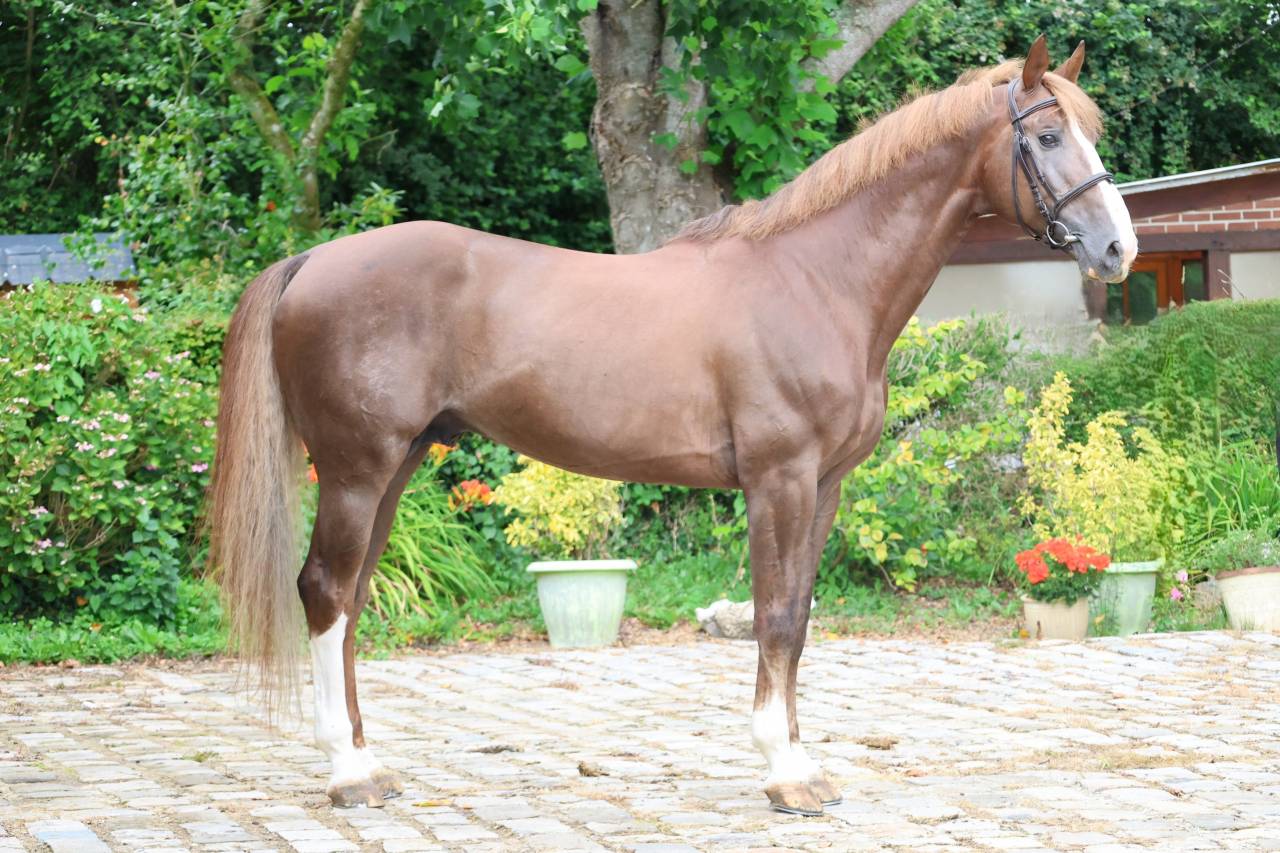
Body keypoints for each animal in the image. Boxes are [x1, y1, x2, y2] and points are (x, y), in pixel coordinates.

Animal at [207, 36, 1137, 815]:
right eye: (1046, 135)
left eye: (1087, 131)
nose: (1118, 249)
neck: (816, 277)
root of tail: (311, 262)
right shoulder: (778, 479)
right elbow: (775, 617)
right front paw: (784, 772)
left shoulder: (825, 484)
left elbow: (800, 614)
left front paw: (803, 763)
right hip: (357, 468)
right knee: (325, 592)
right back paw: (348, 772)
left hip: (395, 464)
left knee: (353, 597)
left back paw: (371, 761)